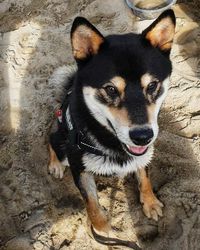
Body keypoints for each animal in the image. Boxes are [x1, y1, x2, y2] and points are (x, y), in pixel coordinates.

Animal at [48, 8, 175, 233]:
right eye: (110, 89)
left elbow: (145, 177)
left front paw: (150, 202)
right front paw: (101, 229)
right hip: (61, 142)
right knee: (49, 138)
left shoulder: (144, 153)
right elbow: (91, 203)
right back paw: (55, 163)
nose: (142, 136)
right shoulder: (79, 169)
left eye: (152, 85)